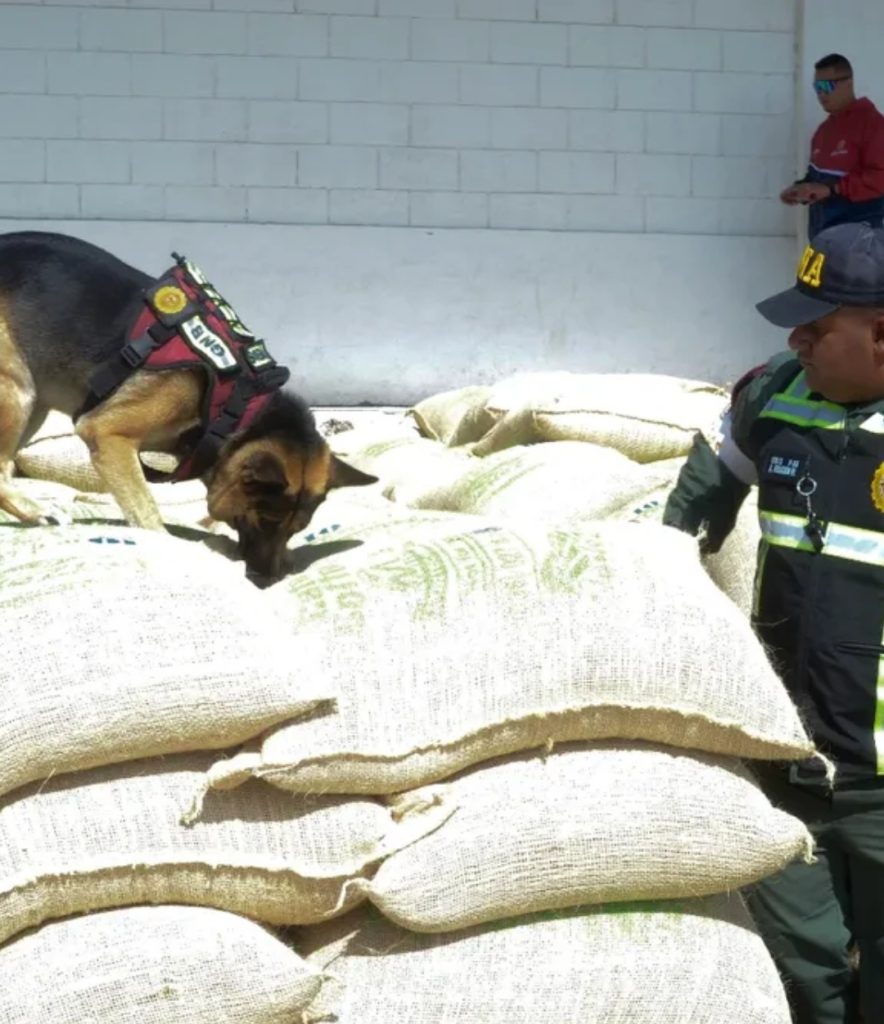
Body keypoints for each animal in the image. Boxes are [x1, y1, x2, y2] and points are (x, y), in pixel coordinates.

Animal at [0, 230, 377, 582]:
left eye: (297, 529)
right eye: (267, 520)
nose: (270, 579)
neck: (239, 405)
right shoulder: (108, 435)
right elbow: (146, 511)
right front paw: (170, 544)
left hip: (35, 403)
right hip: (17, 391)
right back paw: (35, 511)